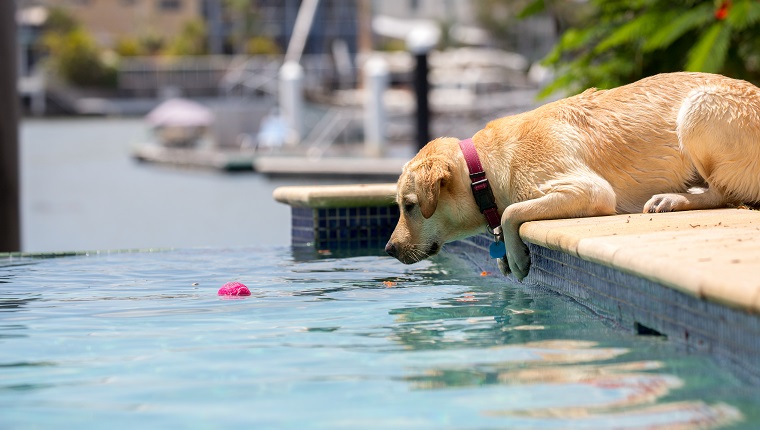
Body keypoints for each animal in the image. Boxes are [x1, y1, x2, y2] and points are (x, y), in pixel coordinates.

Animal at [386, 72, 760, 280]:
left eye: (410, 206)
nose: (389, 249)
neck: (483, 171)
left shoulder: (589, 189)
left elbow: (511, 212)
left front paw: (516, 256)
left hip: (699, 107)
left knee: (725, 194)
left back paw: (674, 198)